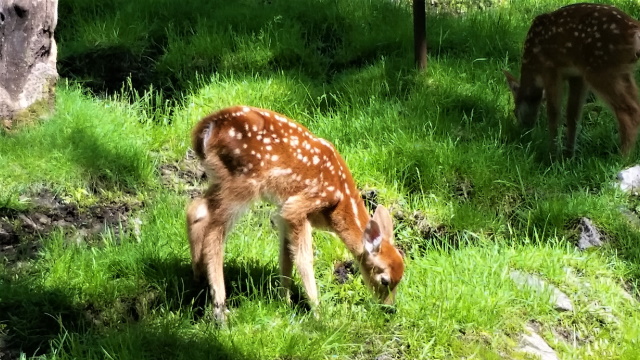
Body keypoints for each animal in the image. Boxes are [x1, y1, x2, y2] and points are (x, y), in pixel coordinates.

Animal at [186, 105, 404, 322]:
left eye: (400, 279)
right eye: (385, 280)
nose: (388, 308)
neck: (338, 203)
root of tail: (207, 127)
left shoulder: (283, 212)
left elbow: (286, 256)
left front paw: (285, 303)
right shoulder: (299, 206)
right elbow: (304, 258)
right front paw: (318, 314)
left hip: (220, 178)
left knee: (195, 209)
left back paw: (198, 279)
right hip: (241, 180)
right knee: (214, 231)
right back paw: (220, 309)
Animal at [504, 2, 640, 158]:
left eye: (514, 112)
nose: (521, 133)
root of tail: (635, 30)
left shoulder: (550, 68)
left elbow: (554, 112)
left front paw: (552, 154)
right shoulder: (577, 75)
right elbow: (573, 113)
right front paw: (569, 154)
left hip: (600, 67)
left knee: (629, 110)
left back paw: (622, 156)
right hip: (622, 71)